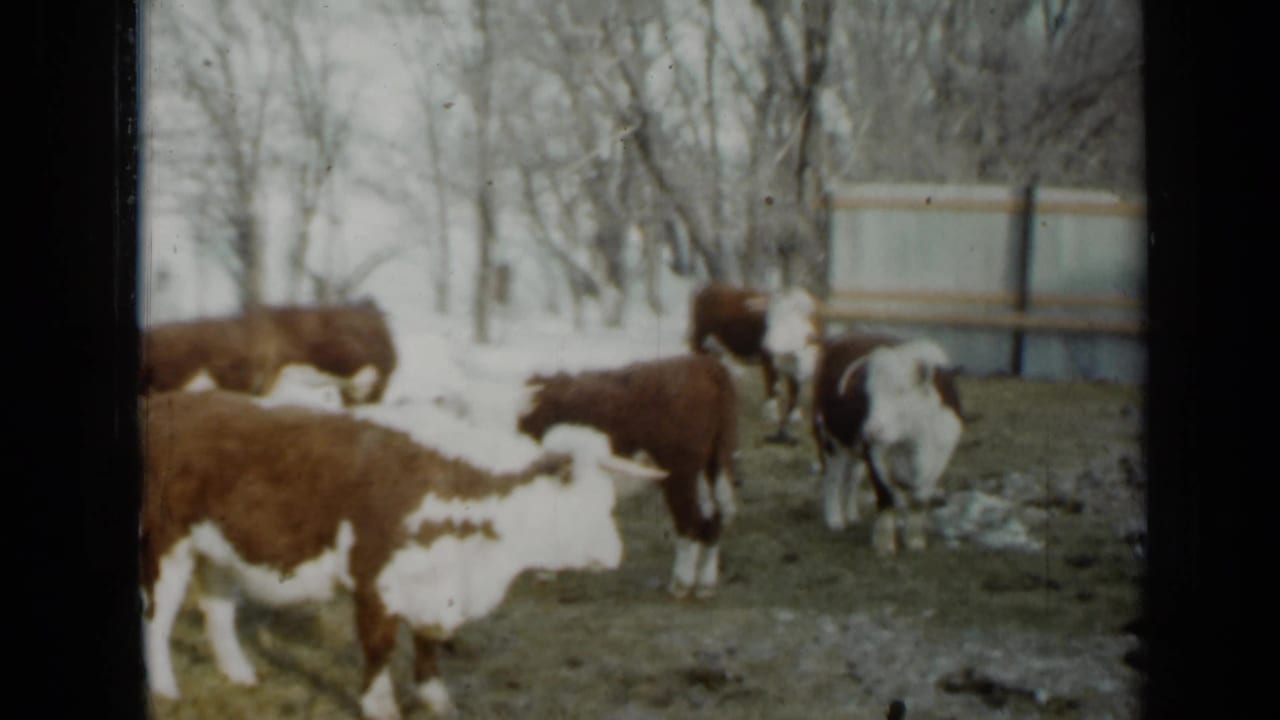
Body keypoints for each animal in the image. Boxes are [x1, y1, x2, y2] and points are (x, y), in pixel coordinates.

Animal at [140, 390, 664, 719]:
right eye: (577, 492)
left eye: (611, 498)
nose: (613, 553)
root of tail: (169, 402)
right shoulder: (375, 577)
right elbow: (380, 645)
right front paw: (379, 705)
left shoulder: (435, 587)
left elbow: (429, 642)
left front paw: (436, 699)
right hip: (164, 546)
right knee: (157, 618)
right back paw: (165, 689)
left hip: (217, 550)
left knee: (217, 611)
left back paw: (240, 675)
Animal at [515, 354, 739, 600]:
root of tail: (704, 364)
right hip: (710, 466)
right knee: (713, 517)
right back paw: (705, 584)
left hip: (680, 471)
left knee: (690, 521)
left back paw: (680, 584)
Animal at [688, 283, 821, 443]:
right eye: (768, 320)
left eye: (792, 321)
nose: (767, 344)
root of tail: (712, 286)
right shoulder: (768, 361)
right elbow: (773, 387)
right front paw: (771, 415)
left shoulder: (796, 369)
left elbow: (795, 390)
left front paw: (795, 417)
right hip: (700, 340)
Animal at [810, 333, 964, 554]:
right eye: (868, 393)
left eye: (901, 391)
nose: (871, 430)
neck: (912, 442)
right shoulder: (876, 456)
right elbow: (886, 496)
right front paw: (884, 544)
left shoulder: (937, 459)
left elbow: (918, 500)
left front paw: (915, 541)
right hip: (830, 439)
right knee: (833, 478)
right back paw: (835, 520)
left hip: (854, 447)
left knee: (852, 479)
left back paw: (852, 515)